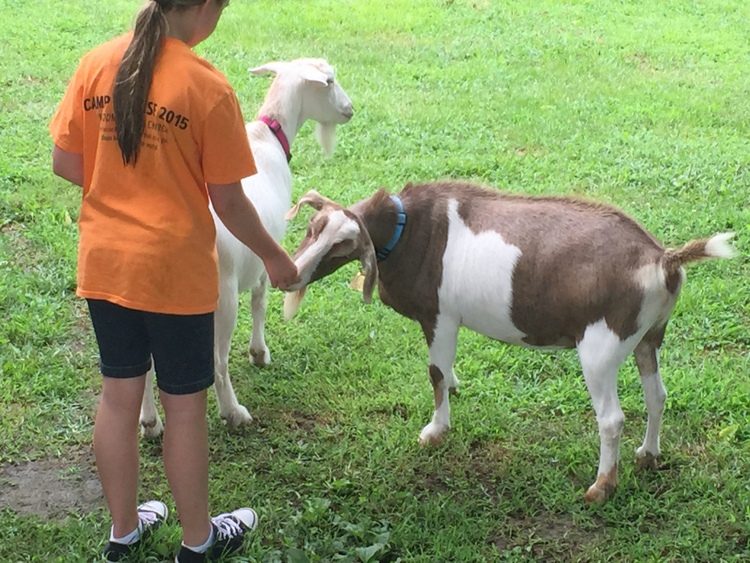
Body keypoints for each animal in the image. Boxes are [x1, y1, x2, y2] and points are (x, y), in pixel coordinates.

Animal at [140, 58, 356, 436]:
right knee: (216, 359)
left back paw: (150, 423)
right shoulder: (266, 254)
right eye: (329, 81)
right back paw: (233, 412)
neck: (267, 136)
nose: (349, 110)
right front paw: (259, 353)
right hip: (219, 295)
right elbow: (259, 302)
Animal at [282, 181, 736, 502]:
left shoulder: (440, 315)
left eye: (343, 245)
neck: (407, 228)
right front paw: (455, 386)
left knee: (611, 419)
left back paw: (601, 488)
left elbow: (434, 373)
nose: (291, 275)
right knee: (657, 395)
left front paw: (435, 430)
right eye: (311, 228)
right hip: (649, 335)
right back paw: (648, 455)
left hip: (601, 346)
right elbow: (444, 369)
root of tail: (663, 259)